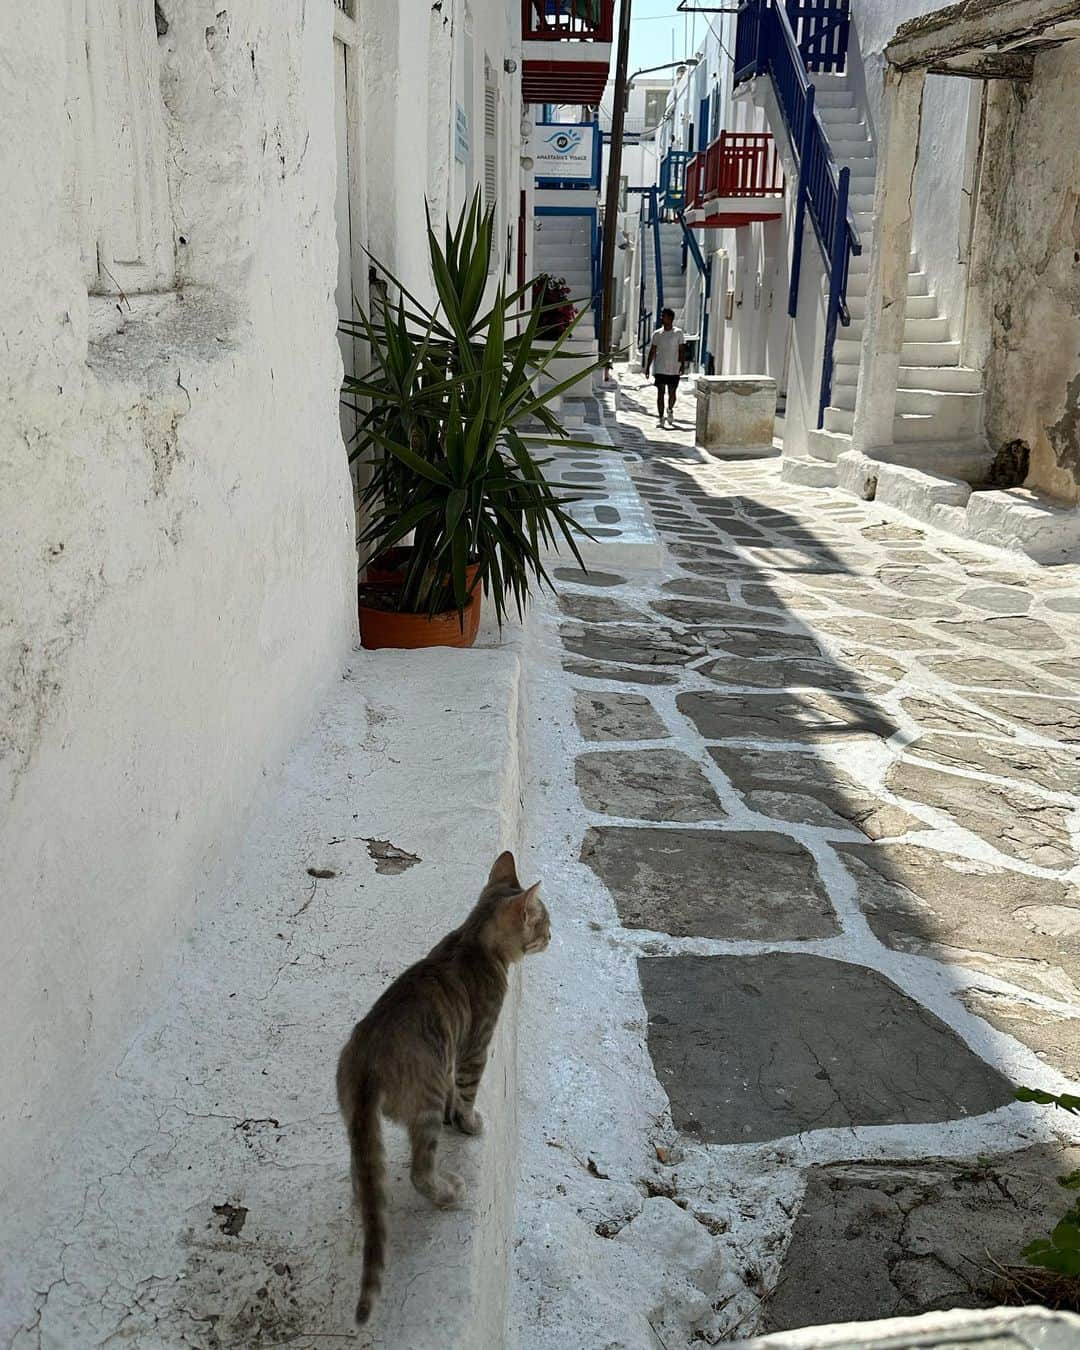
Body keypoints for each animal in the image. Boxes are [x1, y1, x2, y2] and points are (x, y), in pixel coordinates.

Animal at [334, 847, 548, 1323]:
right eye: (544, 921)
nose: (552, 935)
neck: (473, 938)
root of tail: (368, 1062)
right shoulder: (475, 1046)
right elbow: (465, 1093)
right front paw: (468, 1122)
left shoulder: (454, 1052)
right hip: (425, 1104)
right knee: (419, 1170)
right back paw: (448, 1193)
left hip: (359, 1119)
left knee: (362, 1172)